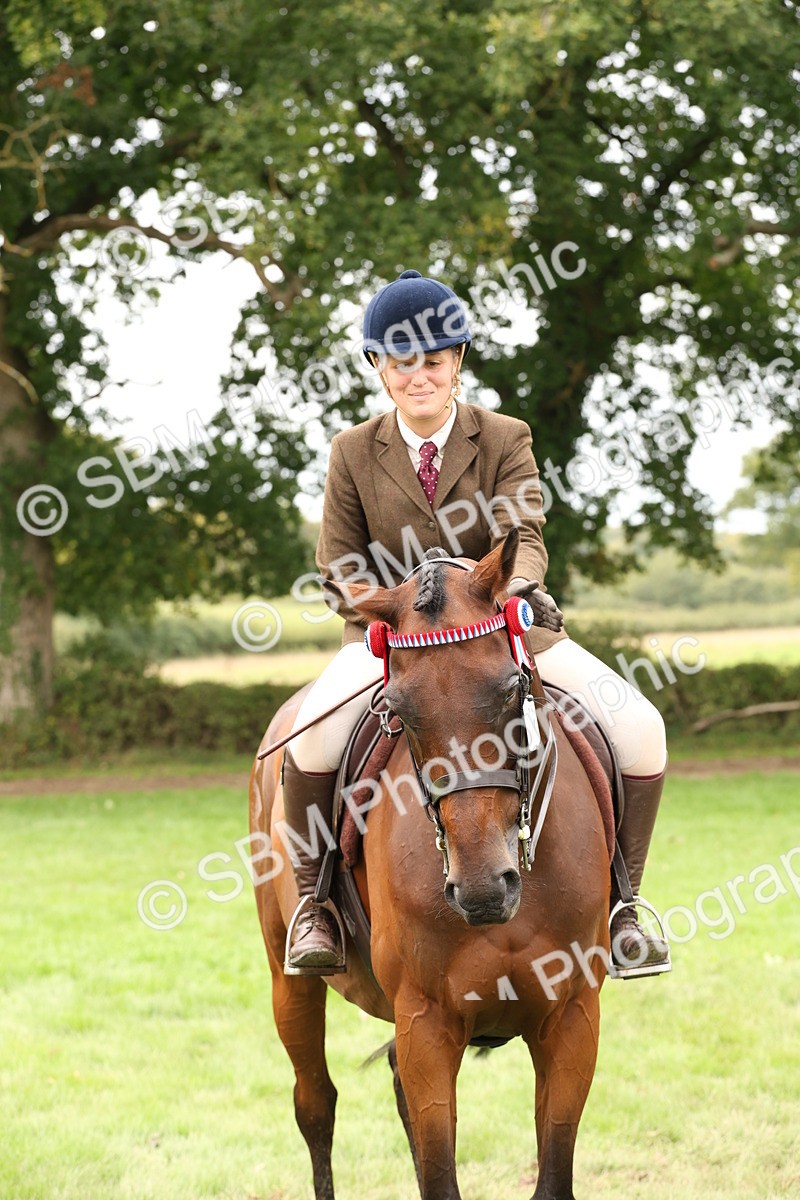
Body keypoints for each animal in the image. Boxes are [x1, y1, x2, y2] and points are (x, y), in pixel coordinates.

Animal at [249, 529, 611, 1200]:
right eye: (399, 709)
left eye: (511, 690)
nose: (483, 890)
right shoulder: (426, 1022)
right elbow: (439, 1173)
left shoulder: (572, 1015)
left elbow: (552, 1175)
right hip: (290, 980)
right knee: (315, 1103)